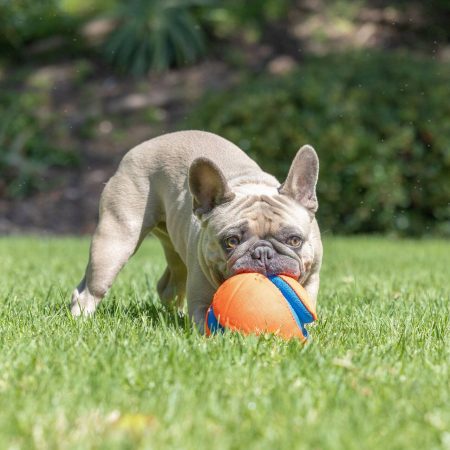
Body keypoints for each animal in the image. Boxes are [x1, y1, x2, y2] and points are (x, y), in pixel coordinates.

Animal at [70, 130, 322, 330]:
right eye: (231, 241)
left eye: (294, 240)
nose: (262, 253)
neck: (250, 185)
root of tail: (138, 148)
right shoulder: (200, 300)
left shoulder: (311, 280)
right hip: (116, 240)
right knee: (92, 288)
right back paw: (81, 318)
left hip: (176, 251)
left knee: (169, 286)